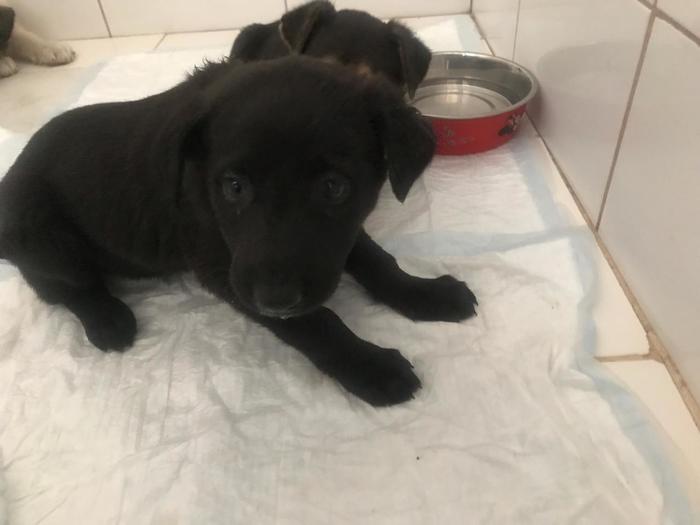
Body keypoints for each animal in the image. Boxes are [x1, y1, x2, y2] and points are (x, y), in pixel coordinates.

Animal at [0, 57, 477, 406]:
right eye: (234, 187)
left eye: (333, 186)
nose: (275, 299)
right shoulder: (222, 267)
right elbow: (317, 323)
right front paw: (370, 367)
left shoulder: (336, 237)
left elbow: (377, 259)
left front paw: (425, 292)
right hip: (47, 240)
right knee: (61, 286)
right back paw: (107, 319)